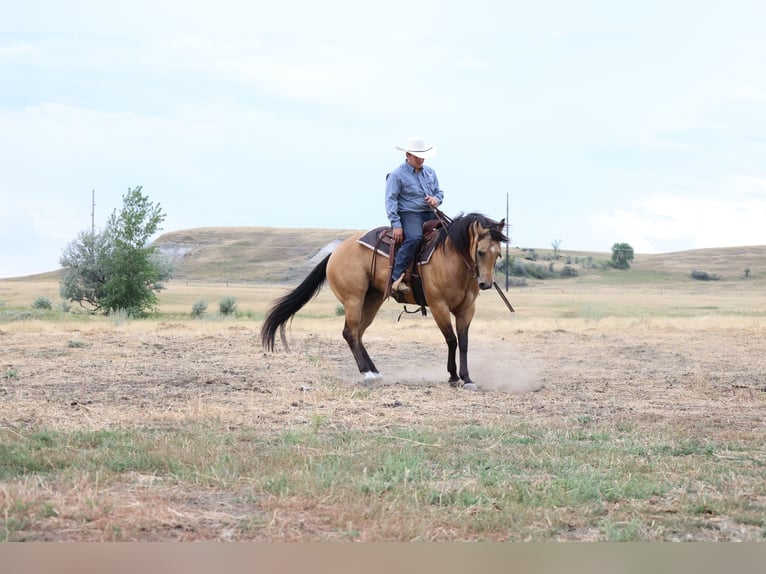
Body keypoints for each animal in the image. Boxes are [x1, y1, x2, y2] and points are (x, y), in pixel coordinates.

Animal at [260, 212, 508, 390]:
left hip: (372, 300)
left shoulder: (467, 309)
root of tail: (335, 253)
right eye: (481, 251)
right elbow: (451, 340)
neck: (450, 258)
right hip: (353, 300)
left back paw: (375, 371)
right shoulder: (439, 306)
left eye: (498, 254)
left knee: (359, 333)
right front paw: (453, 376)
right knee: (350, 333)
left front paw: (467, 378)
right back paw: (367, 374)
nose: (486, 283)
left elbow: (464, 342)